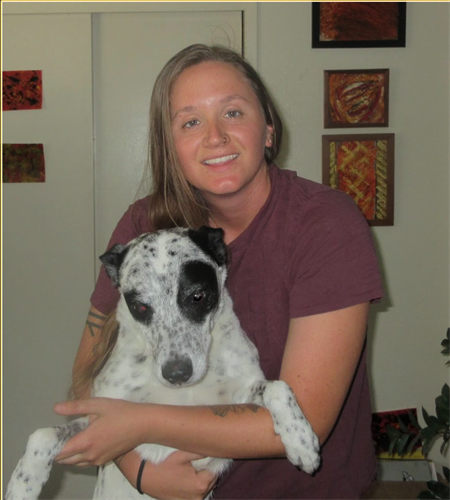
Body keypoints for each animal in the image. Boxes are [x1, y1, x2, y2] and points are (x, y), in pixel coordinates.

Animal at [4, 228, 320, 500]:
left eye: (197, 296)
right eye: (140, 306)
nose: (177, 373)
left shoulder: (237, 397)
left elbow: (277, 387)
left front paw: (301, 439)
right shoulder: (99, 414)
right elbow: (42, 435)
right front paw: (22, 485)